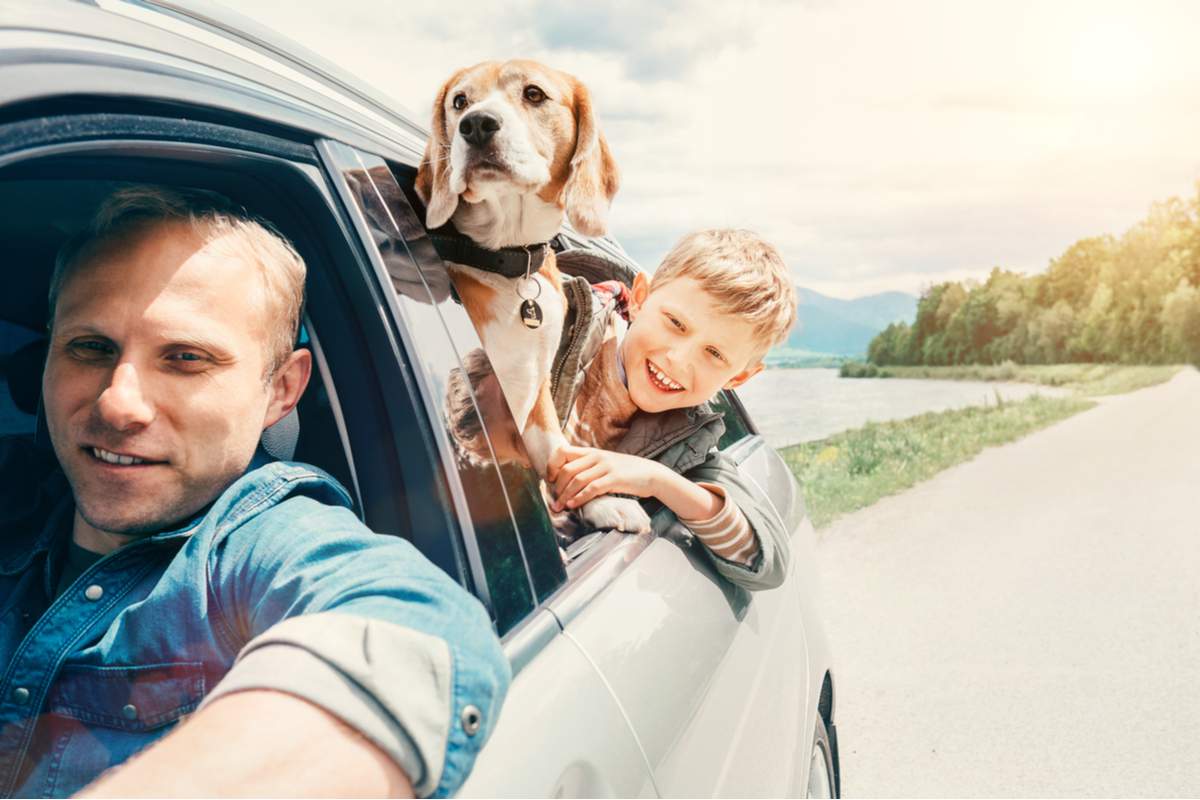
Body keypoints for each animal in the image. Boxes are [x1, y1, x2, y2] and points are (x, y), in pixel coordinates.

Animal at [417, 62, 652, 534]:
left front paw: (599, 502)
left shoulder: (535, 386)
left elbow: (556, 450)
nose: (476, 125)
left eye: (534, 94)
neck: (509, 261)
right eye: (459, 102)